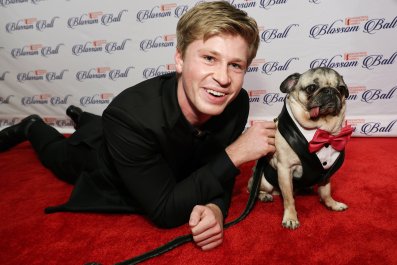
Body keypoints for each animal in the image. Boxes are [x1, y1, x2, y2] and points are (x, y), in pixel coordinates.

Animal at [248, 66, 352, 229]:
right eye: (312, 88)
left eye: (341, 89)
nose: (330, 90)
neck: (321, 130)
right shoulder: (285, 169)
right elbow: (289, 199)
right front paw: (291, 218)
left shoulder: (326, 173)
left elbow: (326, 191)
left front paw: (331, 204)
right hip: (264, 181)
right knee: (256, 190)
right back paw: (265, 196)